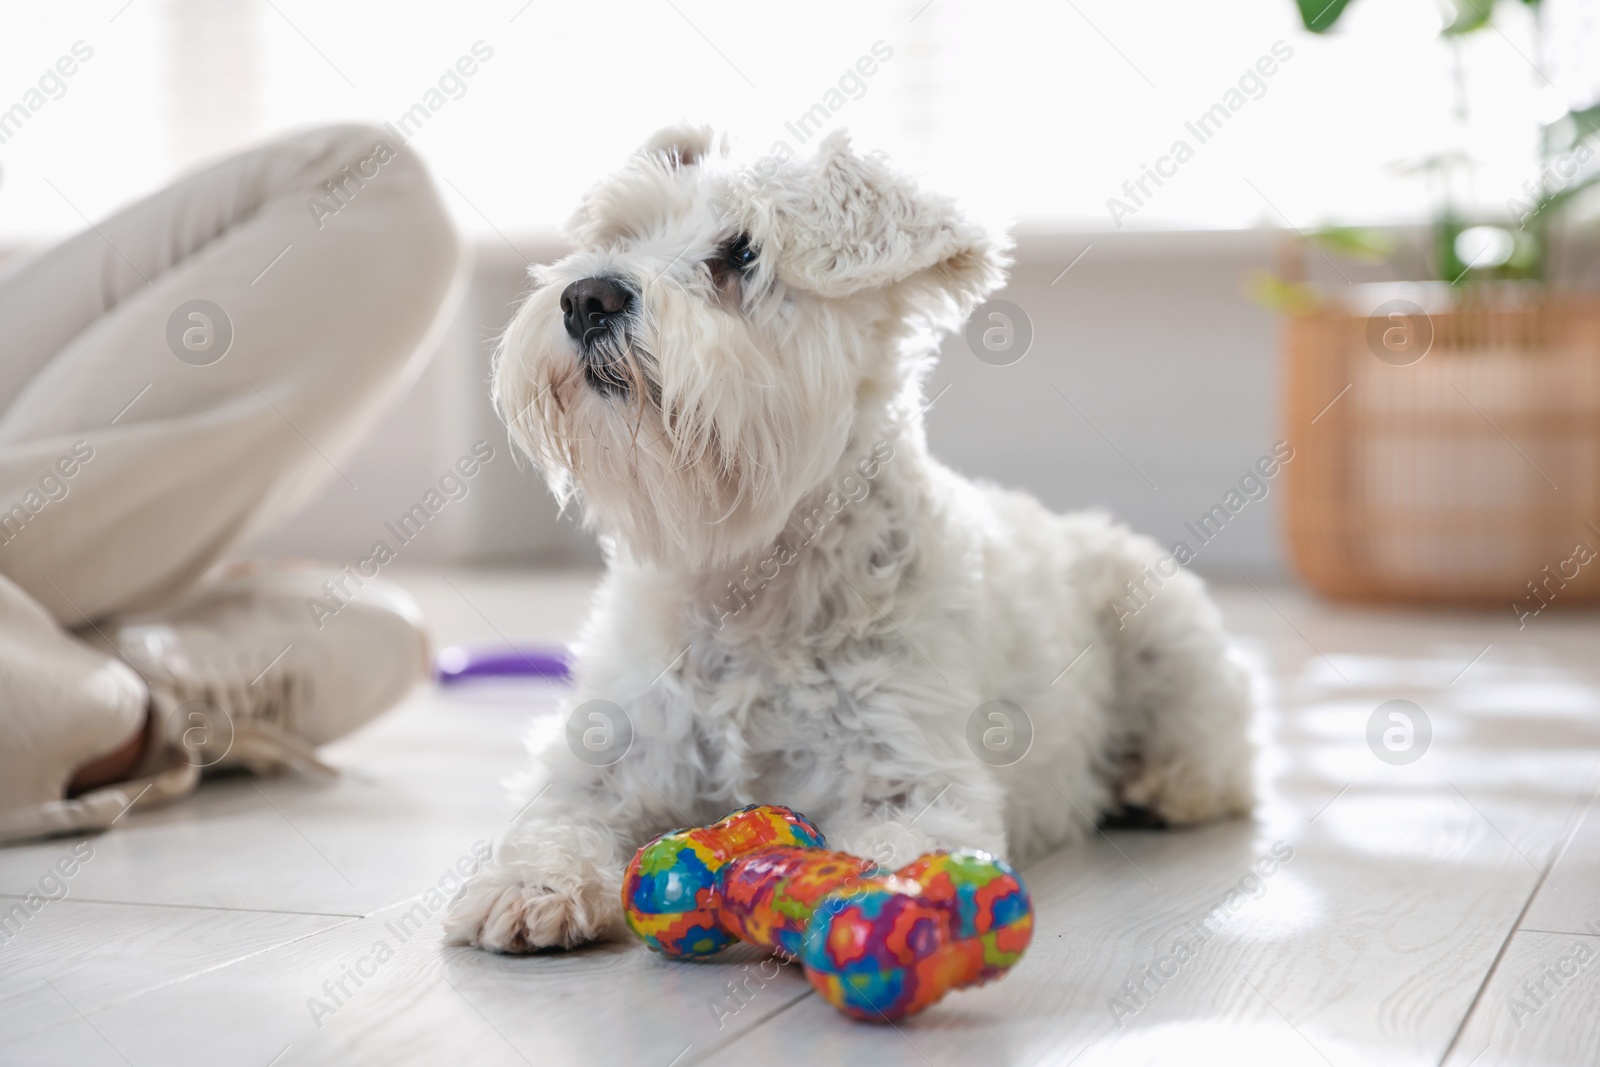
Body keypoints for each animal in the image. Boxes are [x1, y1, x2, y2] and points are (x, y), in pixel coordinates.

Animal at [444, 123, 1254, 953]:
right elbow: (556, 819)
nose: (587, 297)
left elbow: (904, 843)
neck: (747, 581)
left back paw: (1160, 785)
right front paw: (531, 886)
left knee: (1220, 751)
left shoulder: (911, 770)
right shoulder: (609, 755)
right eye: (618, 236)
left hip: (1166, 630)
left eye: (742, 253)